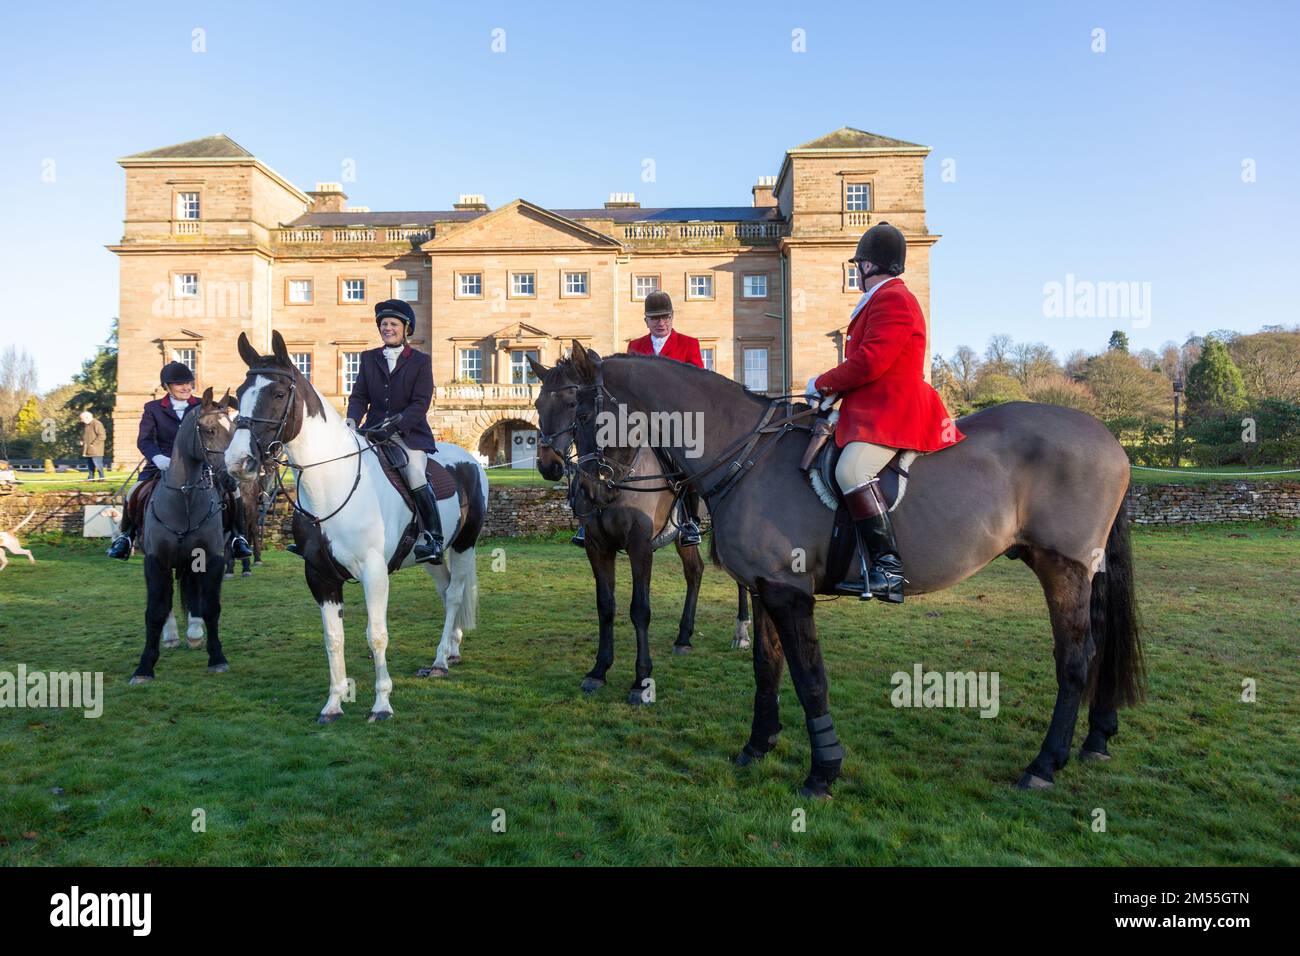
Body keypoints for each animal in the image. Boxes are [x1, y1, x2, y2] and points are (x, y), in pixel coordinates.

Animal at [130, 390, 237, 686]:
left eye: (235, 430)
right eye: (210, 430)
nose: (233, 479)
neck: (185, 498)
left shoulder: (211, 559)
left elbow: (210, 606)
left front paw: (217, 658)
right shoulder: (155, 562)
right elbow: (155, 610)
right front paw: (144, 667)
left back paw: (194, 632)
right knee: (165, 600)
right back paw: (172, 636)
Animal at [223, 332, 488, 723]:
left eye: (279, 394)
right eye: (240, 392)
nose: (237, 462)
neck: (333, 482)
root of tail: (469, 458)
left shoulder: (374, 572)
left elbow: (376, 635)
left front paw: (382, 704)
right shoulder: (320, 576)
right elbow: (333, 638)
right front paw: (333, 704)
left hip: (465, 544)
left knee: (454, 594)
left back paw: (441, 660)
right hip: (434, 555)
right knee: (445, 592)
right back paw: (450, 649)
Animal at [527, 356, 754, 707]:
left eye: (572, 404)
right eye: (538, 404)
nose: (548, 464)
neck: (611, 474)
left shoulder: (639, 546)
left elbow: (640, 609)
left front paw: (641, 680)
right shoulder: (597, 547)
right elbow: (605, 606)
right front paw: (598, 671)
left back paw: (741, 630)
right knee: (695, 571)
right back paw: (684, 636)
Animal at [564, 348, 1144, 796]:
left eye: (578, 411)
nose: (587, 494)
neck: (746, 457)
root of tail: (1110, 438)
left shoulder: (789, 592)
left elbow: (809, 679)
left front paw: (823, 771)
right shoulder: (766, 588)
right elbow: (767, 668)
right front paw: (758, 745)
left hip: (1062, 568)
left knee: (1075, 658)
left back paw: (1044, 764)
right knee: (1096, 649)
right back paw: (1096, 738)